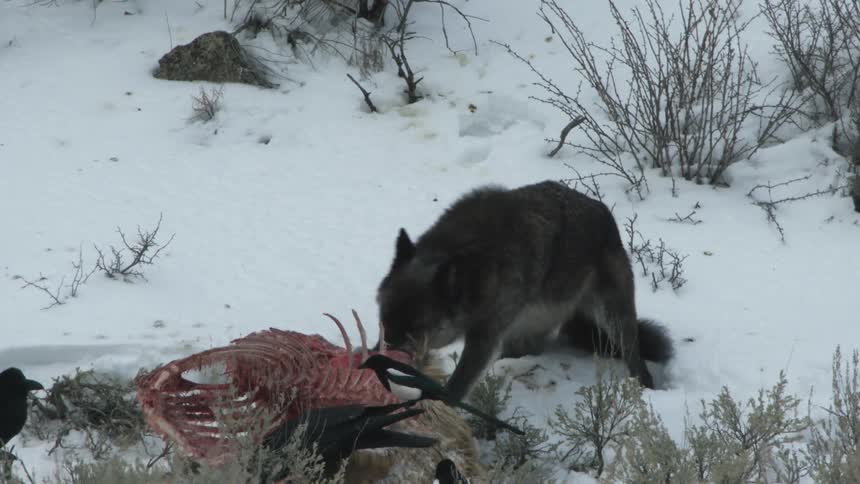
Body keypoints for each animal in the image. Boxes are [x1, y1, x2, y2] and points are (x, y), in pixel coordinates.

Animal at [374, 180, 674, 401]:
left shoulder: (485, 339)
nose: (388, 347)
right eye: (383, 319)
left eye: (415, 328)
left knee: (635, 357)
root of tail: (604, 214)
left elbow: (456, 387)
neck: (471, 260)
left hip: (614, 319)